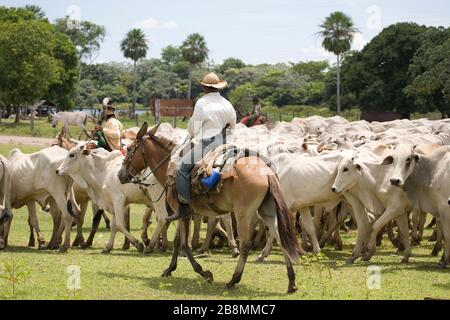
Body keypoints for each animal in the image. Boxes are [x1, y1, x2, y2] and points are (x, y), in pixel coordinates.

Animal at [118, 122, 300, 292]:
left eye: (129, 149)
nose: (120, 175)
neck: (170, 167)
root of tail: (266, 171)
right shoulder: (182, 213)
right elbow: (177, 242)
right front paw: (170, 269)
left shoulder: (183, 213)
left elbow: (184, 245)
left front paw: (204, 272)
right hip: (266, 211)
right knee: (280, 238)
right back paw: (291, 282)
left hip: (243, 213)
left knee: (245, 245)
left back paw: (233, 280)